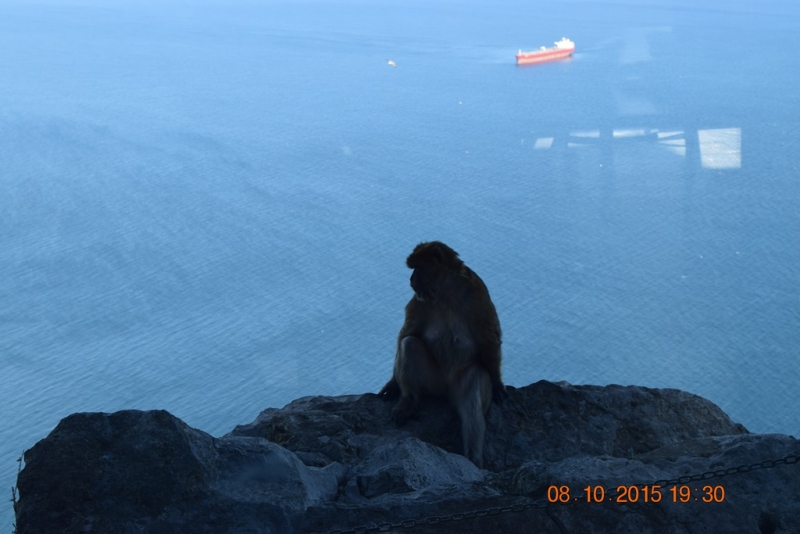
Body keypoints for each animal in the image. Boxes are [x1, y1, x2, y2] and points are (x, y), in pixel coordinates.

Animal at [378, 243, 504, 468]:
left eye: (418, 267)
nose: (411, 279)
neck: (446, 290)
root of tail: (446, 390)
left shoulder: (478, 292)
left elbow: (490, 337)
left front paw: (497, 383)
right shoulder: (418, 301)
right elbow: (409, 332)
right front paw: (392, 383)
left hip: (457, 385)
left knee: (474, 387)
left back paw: (473, 458)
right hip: (432, 381)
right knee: (410, 345)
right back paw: (408, 402)